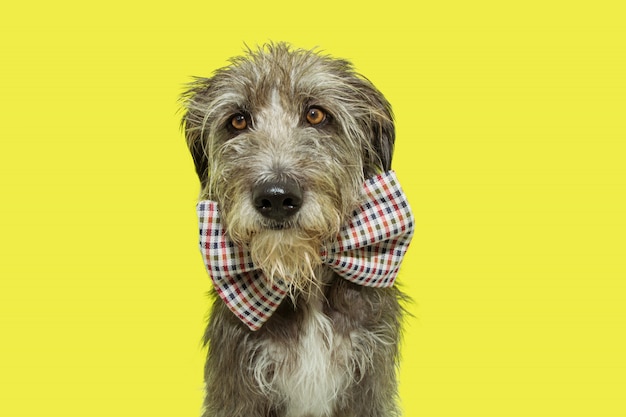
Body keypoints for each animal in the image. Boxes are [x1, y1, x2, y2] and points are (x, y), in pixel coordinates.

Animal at [180, 43, 412, 416]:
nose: (276, 197)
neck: (303, 279)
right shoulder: (236, 387)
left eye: (316, 115)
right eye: (238, 120)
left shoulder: (368, 384)